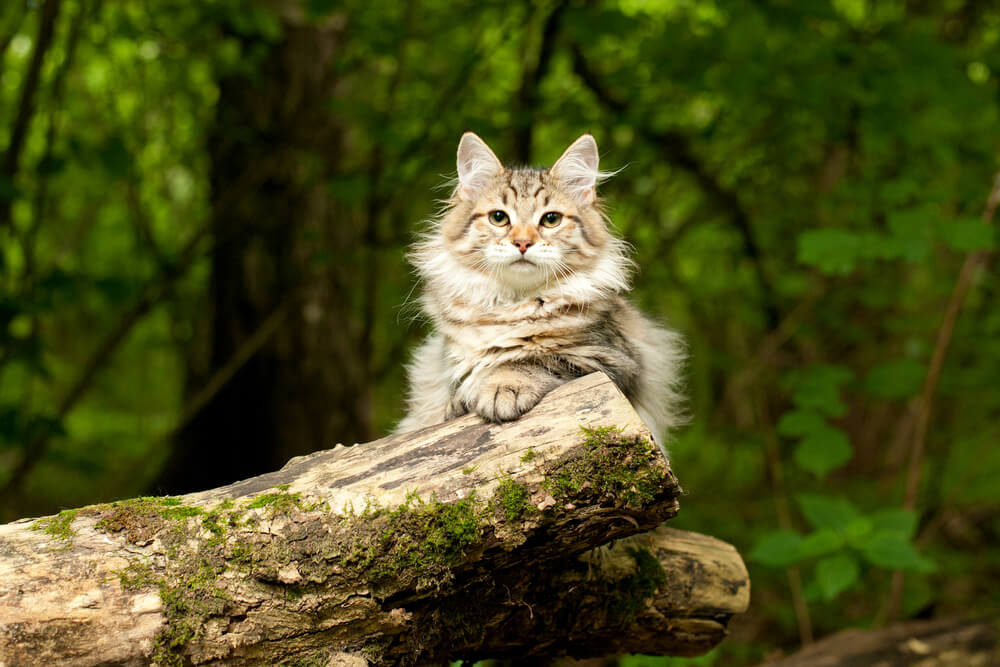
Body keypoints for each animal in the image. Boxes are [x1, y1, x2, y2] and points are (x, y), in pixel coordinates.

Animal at [394, 133, 684, 452]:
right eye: (499, 218)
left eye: (551, 219)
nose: (522, 243)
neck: (512, 305)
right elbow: (459, 383)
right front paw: (461, 401)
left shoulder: (613, 359)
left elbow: (529, 359)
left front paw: (502, 386)